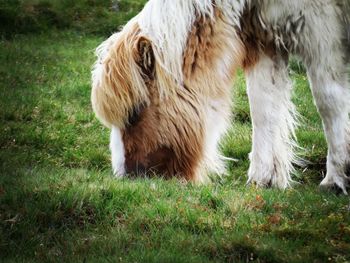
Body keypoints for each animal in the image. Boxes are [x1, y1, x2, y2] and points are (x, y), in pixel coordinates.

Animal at [91, 0, 350, 194]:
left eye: (134, 114)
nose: (125, 177)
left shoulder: (323, 30)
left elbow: (329, 101)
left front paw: (336, 179)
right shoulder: (264, 39)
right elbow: (263, 107)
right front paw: (262, 179)